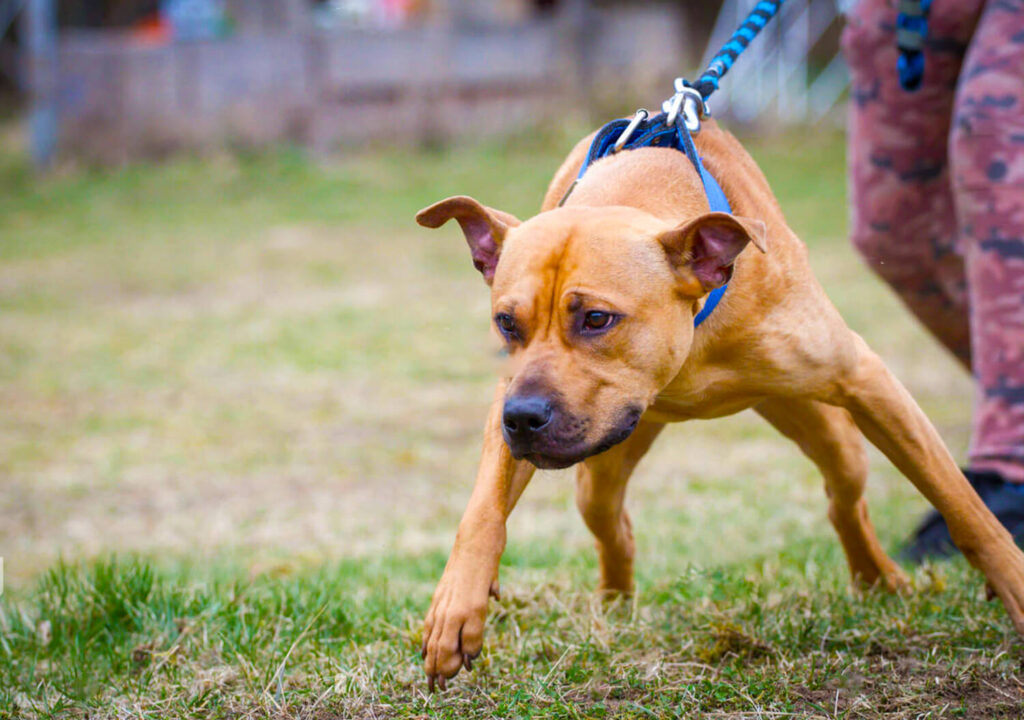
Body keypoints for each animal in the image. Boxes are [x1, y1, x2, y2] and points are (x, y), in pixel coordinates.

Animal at [411, 120, 1024, 688]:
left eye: (597, 319)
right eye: (506, 323)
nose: (523, 418)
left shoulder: (866, 379)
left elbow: (960, 502)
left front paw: (1010, 578)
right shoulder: (511, 396)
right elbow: (483, 513)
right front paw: (456, 608)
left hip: (831, 434)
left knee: (844, 501)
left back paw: (876, 577)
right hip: (599, 473)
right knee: (613, 525)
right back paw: (614, 609)